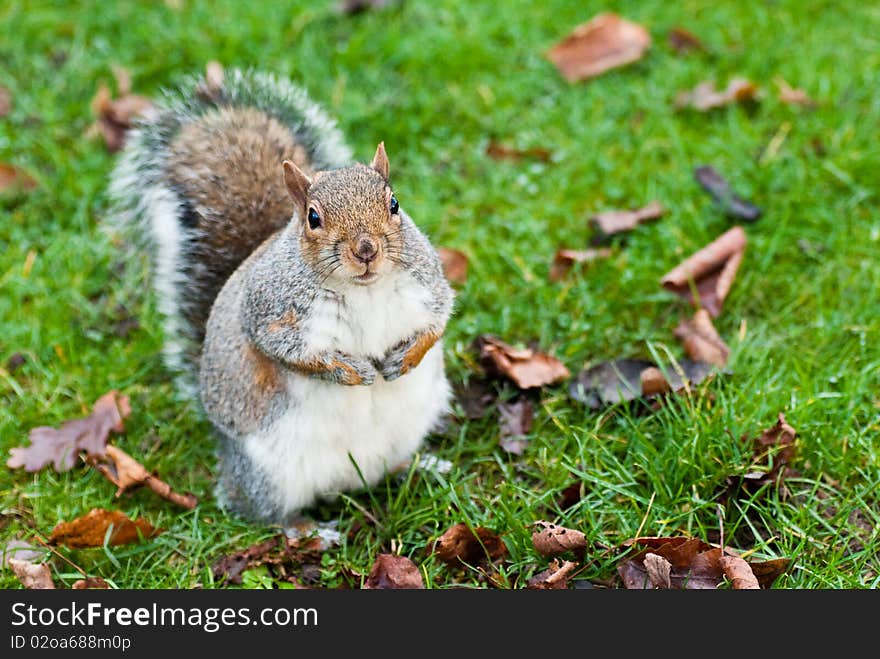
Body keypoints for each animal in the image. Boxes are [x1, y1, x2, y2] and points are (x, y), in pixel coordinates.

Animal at [108, 69, 454, 524]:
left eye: (394, 203)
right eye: (313, 217)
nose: (366, 250)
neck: (363, 289)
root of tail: (349, 483)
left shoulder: (427, 284)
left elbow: (438, 319)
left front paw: (408, 357)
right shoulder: (271, 311)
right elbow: (288, 351)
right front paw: (348, 371)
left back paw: (422, 466)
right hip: (269, 474)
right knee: (258, 511)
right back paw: (302, 529)